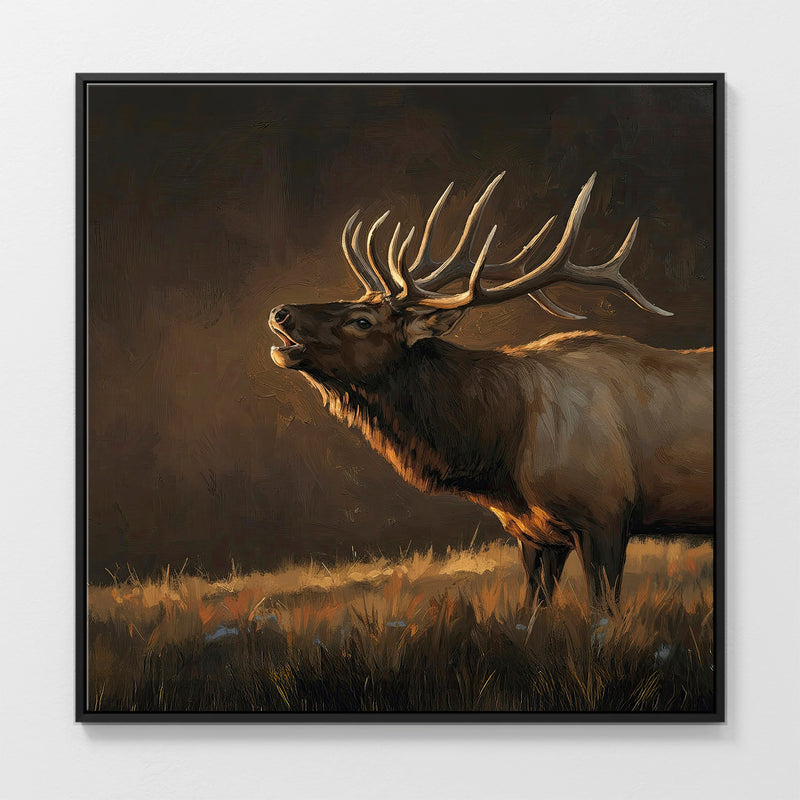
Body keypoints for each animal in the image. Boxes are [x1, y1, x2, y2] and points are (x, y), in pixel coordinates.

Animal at [269, 172, 714, 608]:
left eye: (362, 320)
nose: (280, 312)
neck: (502, 454)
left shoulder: (605, 514)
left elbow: (603, 613)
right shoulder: (534, 533)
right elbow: (533, 610)